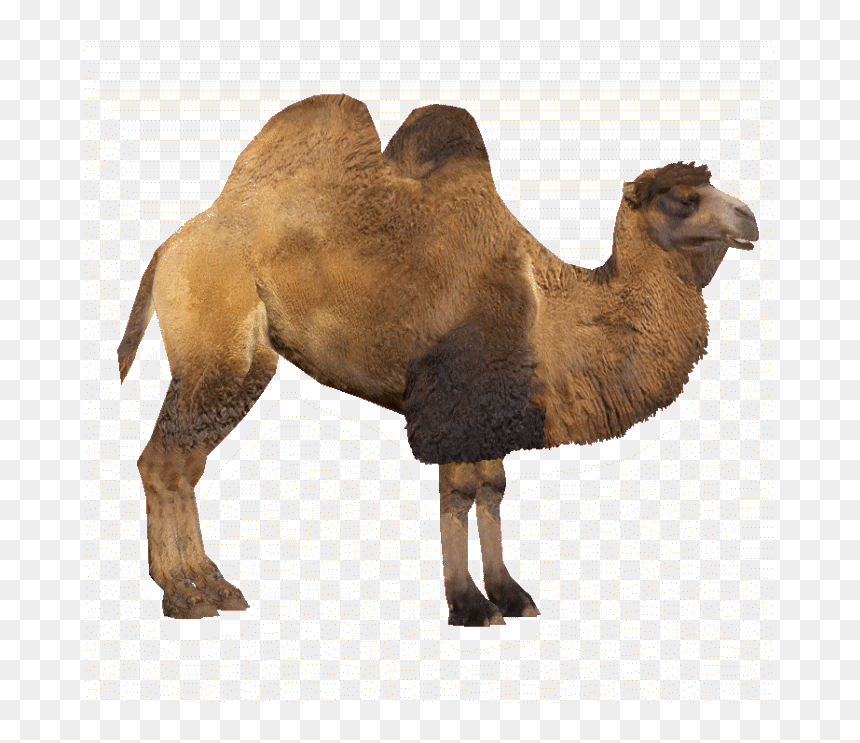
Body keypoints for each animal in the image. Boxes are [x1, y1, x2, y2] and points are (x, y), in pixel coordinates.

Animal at [117, 94, 759, 625]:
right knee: (163, 461)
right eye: (683, 200)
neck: (551, 313)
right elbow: (458, 495)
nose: (750, 218)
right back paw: (184, 596)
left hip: (242, 362)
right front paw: (469, 606)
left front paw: (511, 596)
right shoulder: (452, 399)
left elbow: (492, 489)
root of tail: (170, 247)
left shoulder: (494, 408)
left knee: (185, 464)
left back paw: (213, 588)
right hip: (218, 350)